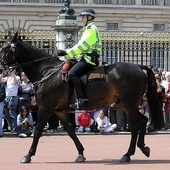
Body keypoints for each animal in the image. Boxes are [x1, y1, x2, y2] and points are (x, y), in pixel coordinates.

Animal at [0, 32, 163, 163]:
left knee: (136, 125)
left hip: (129, 104)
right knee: (143, 121)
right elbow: (70, 131)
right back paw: (142, 148)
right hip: (127, 104)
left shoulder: (46, 108)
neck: (46, 71)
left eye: (5, 48)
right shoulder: (58, 110)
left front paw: (28, 155)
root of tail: (139, 67)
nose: (1, 66)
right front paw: (80, 153)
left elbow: (38, 130)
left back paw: (128, 154)